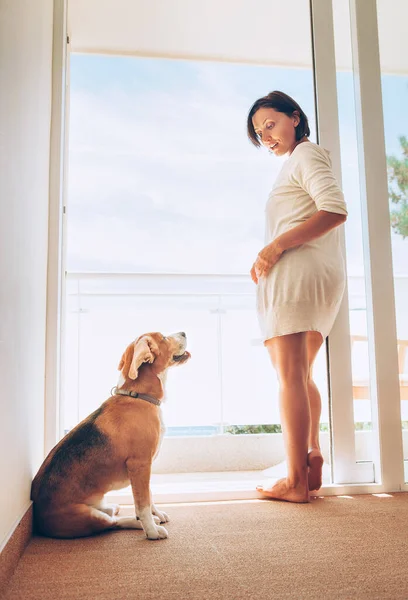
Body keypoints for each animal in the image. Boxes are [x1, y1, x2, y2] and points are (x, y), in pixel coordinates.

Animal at [31, 332, 190, 540]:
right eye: (163, 337)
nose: (184, 333)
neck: (138, 396)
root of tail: (37, 518)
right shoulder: (139, 464)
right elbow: (143, 505)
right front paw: (151, 531)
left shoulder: (145, 468)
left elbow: (149, 496)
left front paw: (156, 514)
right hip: (88, 516)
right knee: (113, 523)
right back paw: (139, 524)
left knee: (112, 515)